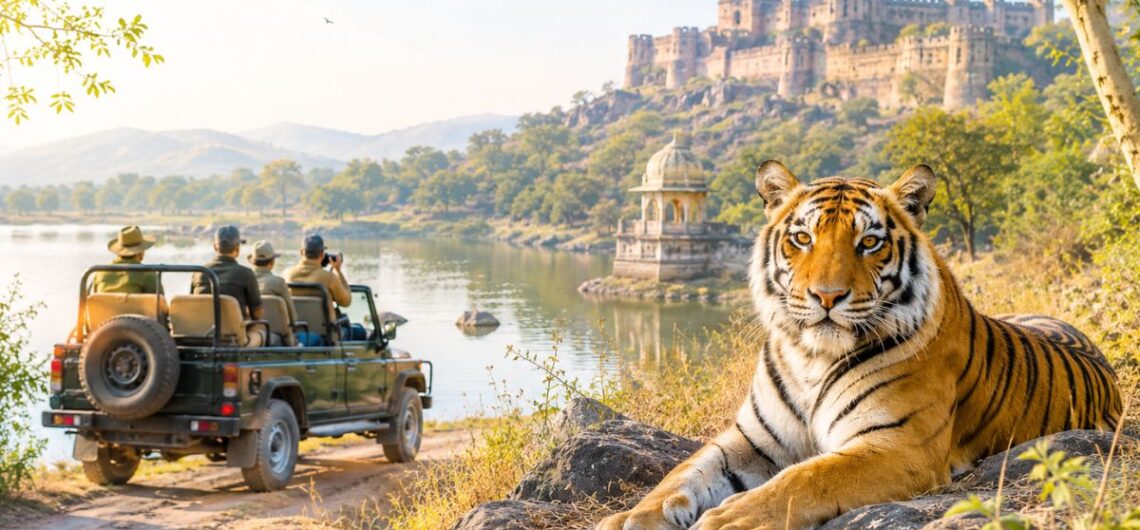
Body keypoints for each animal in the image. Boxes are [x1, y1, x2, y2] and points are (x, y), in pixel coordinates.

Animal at [597, 161, 1123, 530]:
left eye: (869, 242)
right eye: (802, 238)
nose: (826, 296)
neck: (810, 356)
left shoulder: (898, 445)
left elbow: (806, 477)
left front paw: (730, 516)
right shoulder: (751, 439)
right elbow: (682, 473)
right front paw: (633, 516)